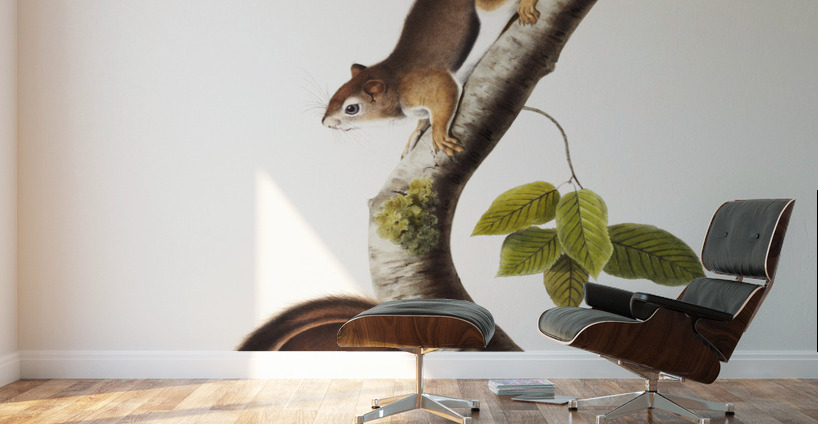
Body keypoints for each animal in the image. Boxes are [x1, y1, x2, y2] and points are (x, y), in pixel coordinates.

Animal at [321, 0, 540, 157]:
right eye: (334, 95)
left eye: (351, 108)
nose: (324, 123)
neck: (393, 82)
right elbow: (422, 122)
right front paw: (412, 139)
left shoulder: (428, 84)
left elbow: (445, 94)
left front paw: (439, 135)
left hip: (487, 6)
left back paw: (527, 4)